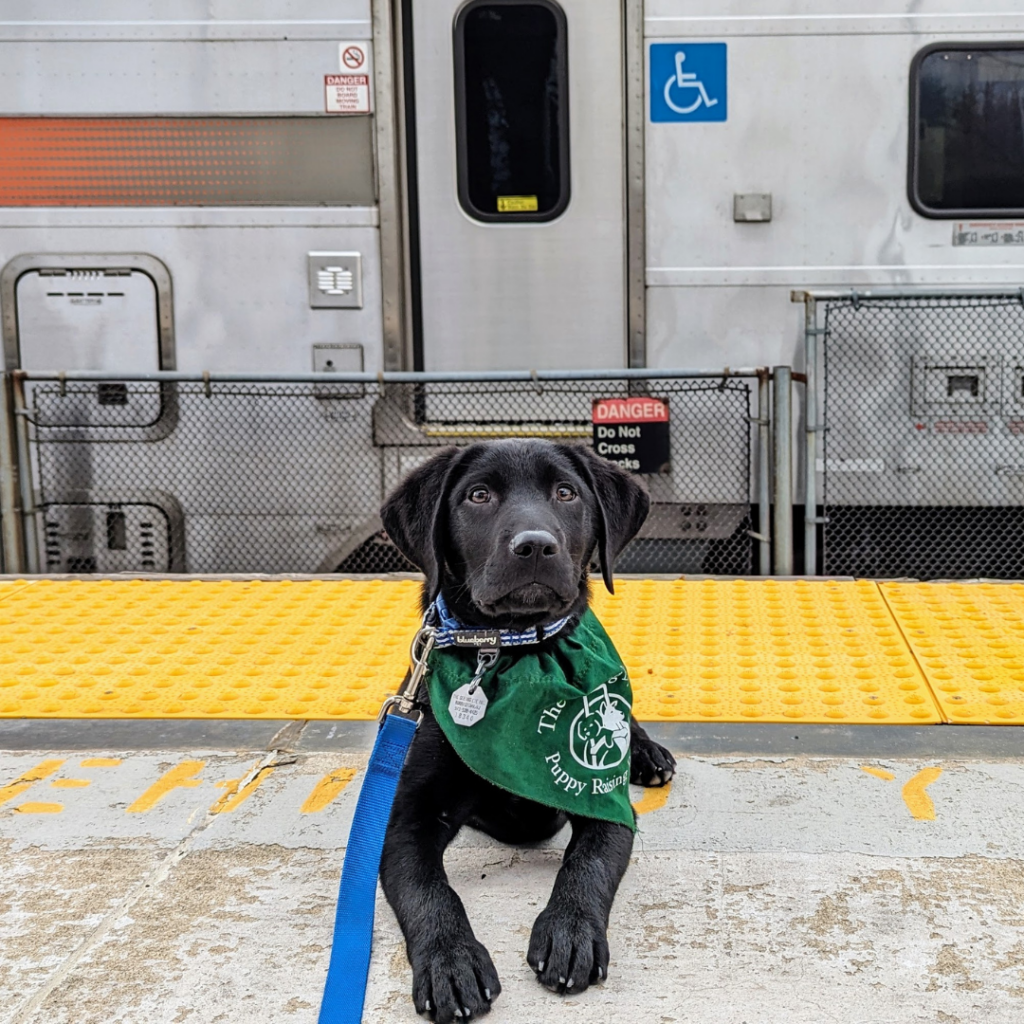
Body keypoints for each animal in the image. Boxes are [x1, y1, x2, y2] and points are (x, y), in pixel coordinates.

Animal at [380, 436, 675, 1019]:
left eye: (565, 492)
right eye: (478, 495)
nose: (535, 546)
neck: (512, 652)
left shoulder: (605, 801)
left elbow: (586, 862)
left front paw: (570, 930)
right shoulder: (402, 821)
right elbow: (430, 889)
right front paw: (450, 961)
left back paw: (648, 754)